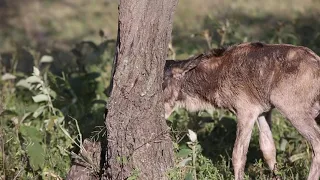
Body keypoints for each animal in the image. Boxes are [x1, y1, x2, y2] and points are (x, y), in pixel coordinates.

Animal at [164, 41, 320, 179]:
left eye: (163, 83)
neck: (216, 76)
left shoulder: (246, 111)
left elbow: (238, 154)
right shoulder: (263, 111)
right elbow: (268, 149)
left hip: (293, 110)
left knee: (316, 143)